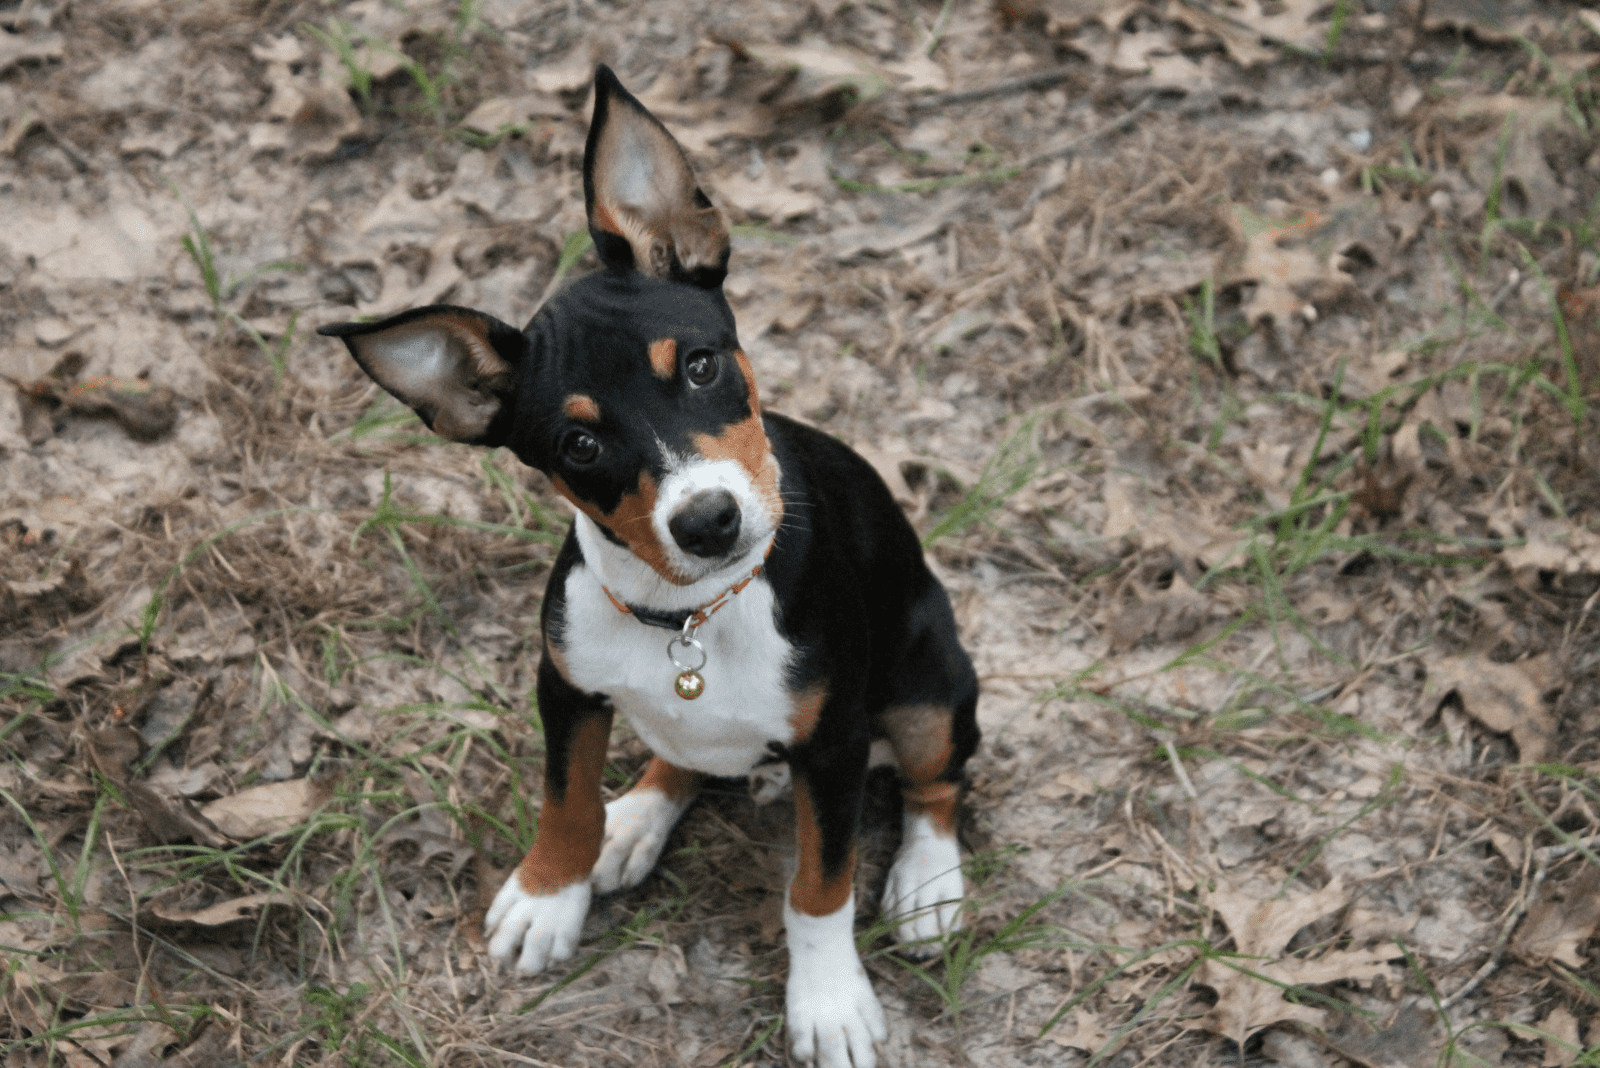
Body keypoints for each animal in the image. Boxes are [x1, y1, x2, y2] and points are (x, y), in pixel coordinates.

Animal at [320, 64, 979, 1068]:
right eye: (580, 443)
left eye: (702, 366)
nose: (707, 521)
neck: (694, 614)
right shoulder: (563, 686)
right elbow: (565, 802)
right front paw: (550, 895)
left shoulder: (830, 748)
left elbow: (820, 888)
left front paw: (829, 1000)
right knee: (683, 756)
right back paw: (635, 818)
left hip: (929, 679)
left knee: (937, 778)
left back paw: (929, 882)